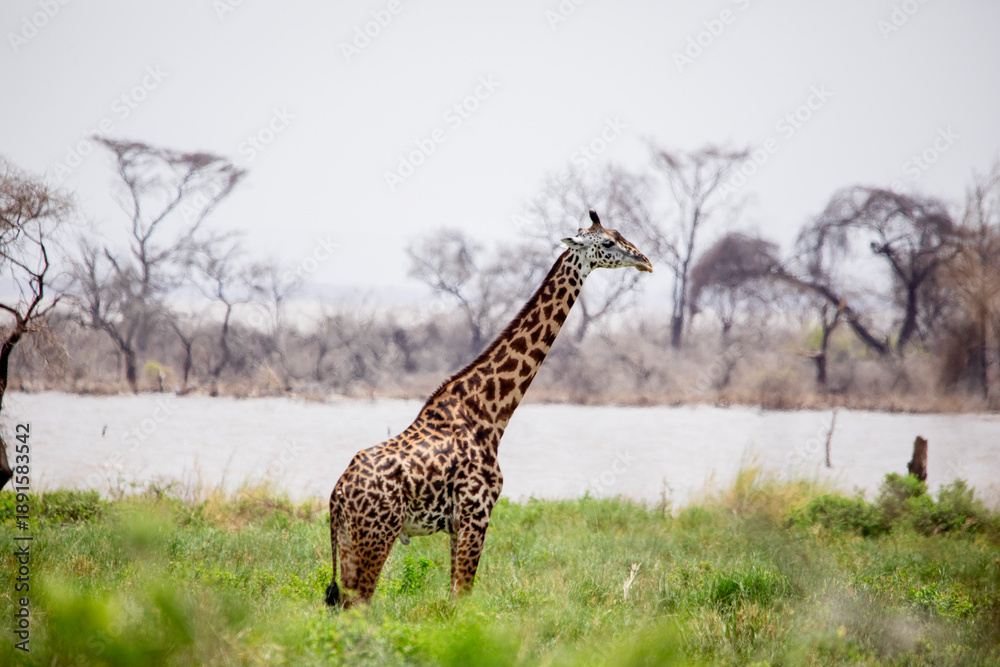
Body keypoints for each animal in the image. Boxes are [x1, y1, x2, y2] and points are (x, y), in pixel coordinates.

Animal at [325, 209, 652, 607]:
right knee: (358, 605)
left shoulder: (457, 525)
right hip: (375, 536)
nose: (646, 261)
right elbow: (461, 600)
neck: (490, 412)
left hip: (350, 541)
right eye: (607, 242)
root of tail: (338, 495)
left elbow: (454, 598)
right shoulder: (475, 514)